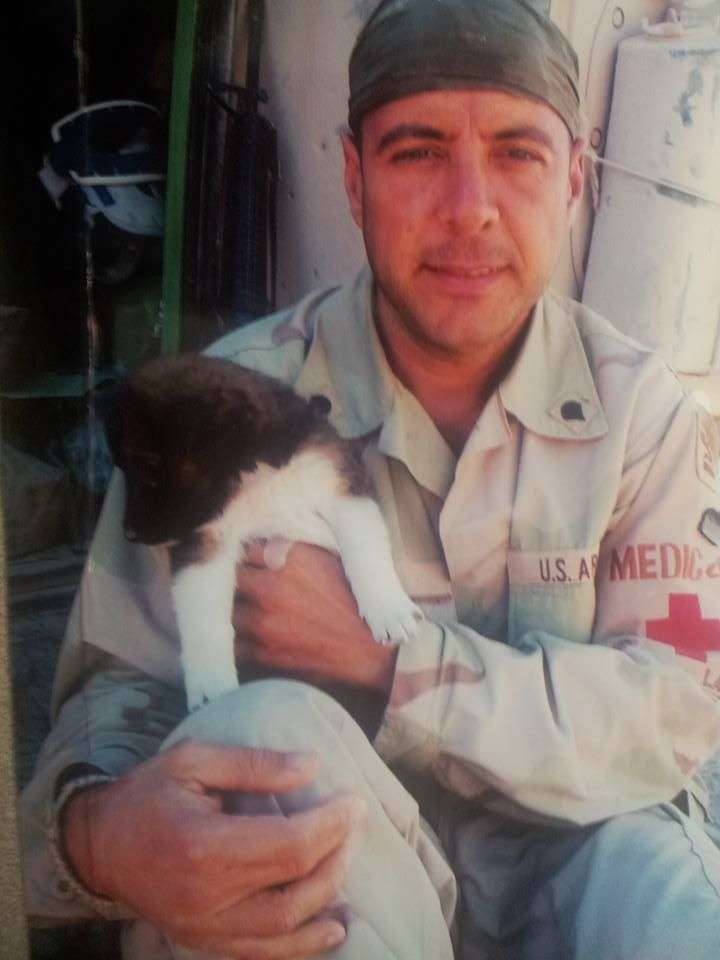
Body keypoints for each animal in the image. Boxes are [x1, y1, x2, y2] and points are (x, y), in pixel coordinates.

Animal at [107, 354, 422, 712]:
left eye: (148, 468)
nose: (129, 533)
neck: (253, 472)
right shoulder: (205, 539)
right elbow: (201, 609)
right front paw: (210, 685)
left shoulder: (342, 486)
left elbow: (364, 547)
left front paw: (389, 609)